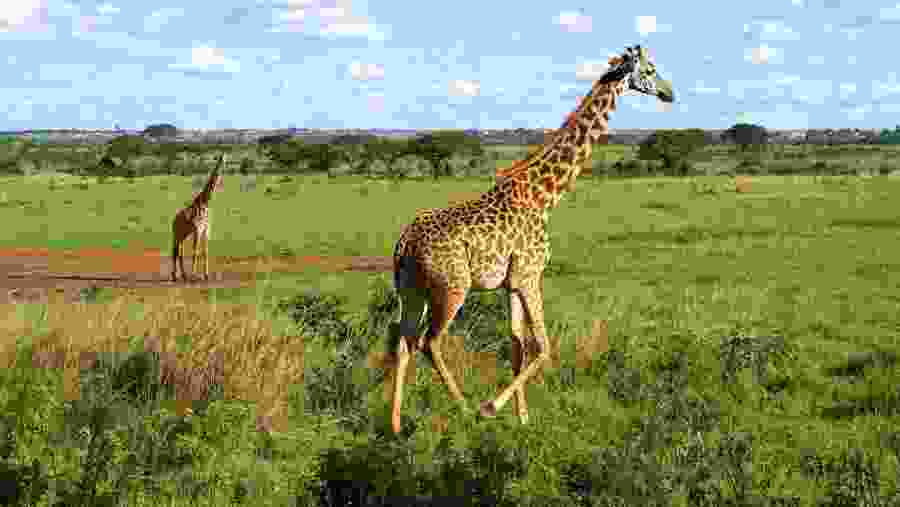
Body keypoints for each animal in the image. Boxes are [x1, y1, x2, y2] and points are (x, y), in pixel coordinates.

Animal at [171, 153, 226, 283]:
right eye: (221, 158)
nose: (223, 159)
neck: (205, 201)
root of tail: (173, 220)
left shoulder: (206, 229)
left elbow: (205, 251)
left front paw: (206, 275)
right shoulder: (198, 229)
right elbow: (195, 252)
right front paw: (194, 276)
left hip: (183, 234)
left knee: (179, 251)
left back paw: (182, 275)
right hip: (177, 233)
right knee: (175, 251)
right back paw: (176, 276)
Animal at [389, 45, 674, 434]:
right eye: (650, 69)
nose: (669, 93)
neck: (546, 195)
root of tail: (405, 243)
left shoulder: (512, 282)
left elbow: (518, 345)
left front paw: (522, 419)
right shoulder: (530, 274)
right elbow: (543, 345)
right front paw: (493, 407)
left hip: (411, 289)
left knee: (403, 342)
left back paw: (394, 425)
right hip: (452, 287)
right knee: (429, 341)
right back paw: (465, 408)